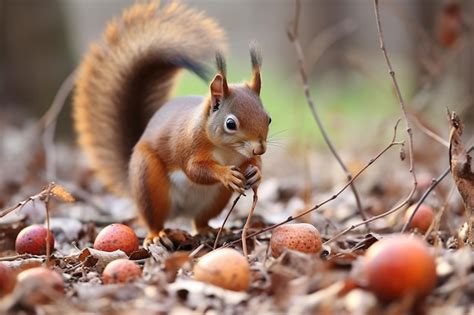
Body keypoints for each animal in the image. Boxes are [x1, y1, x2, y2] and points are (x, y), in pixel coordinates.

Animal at [71, 1, 268, 246]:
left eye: (268, 118)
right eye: (230, 124)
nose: (260, 148)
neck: (227, 151)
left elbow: (252, 164)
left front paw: (256, 173)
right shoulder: (188, 144)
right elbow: (195, 170)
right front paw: (225, 174)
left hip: (216, 199)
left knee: (199, 220)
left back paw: (207, 230)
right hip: (149, 182)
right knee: (154, 219)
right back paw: (157, 235)